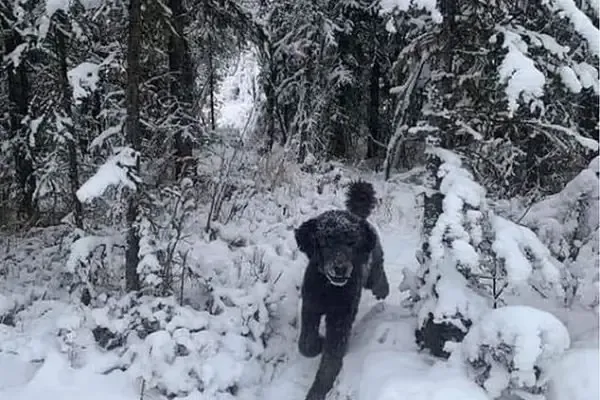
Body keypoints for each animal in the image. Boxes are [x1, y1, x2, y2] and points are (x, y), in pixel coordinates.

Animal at [294, 181, 390, 400]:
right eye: (325, 241)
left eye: (351, 242)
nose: (340, 268)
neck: (329, 289)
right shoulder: (310, 306)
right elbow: (306, 344)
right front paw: (317, 344)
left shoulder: (341, 319)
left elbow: (330, 361)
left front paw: (318, 391)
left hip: (372, 265)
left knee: (377, 275)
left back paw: (383, 289)